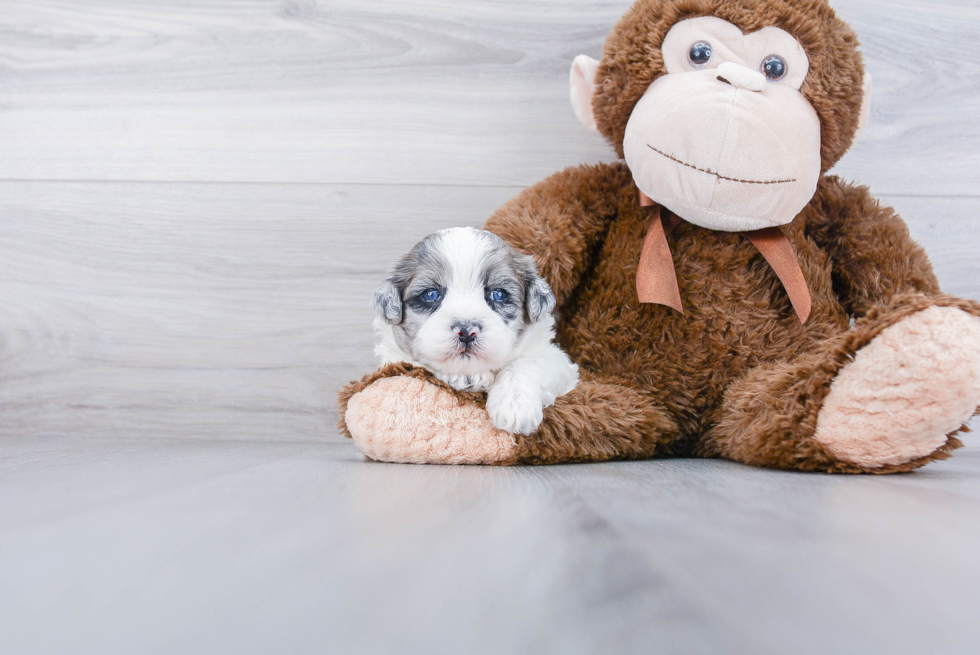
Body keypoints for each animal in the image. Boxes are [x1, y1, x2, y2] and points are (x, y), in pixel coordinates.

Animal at [372, 226, 580, 436]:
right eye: (430, 294)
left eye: (498, 294)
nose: (466, 332)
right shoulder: (392, 359)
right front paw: (464, 376)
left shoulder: (558, 360)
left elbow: (527, 363)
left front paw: (515, 404)